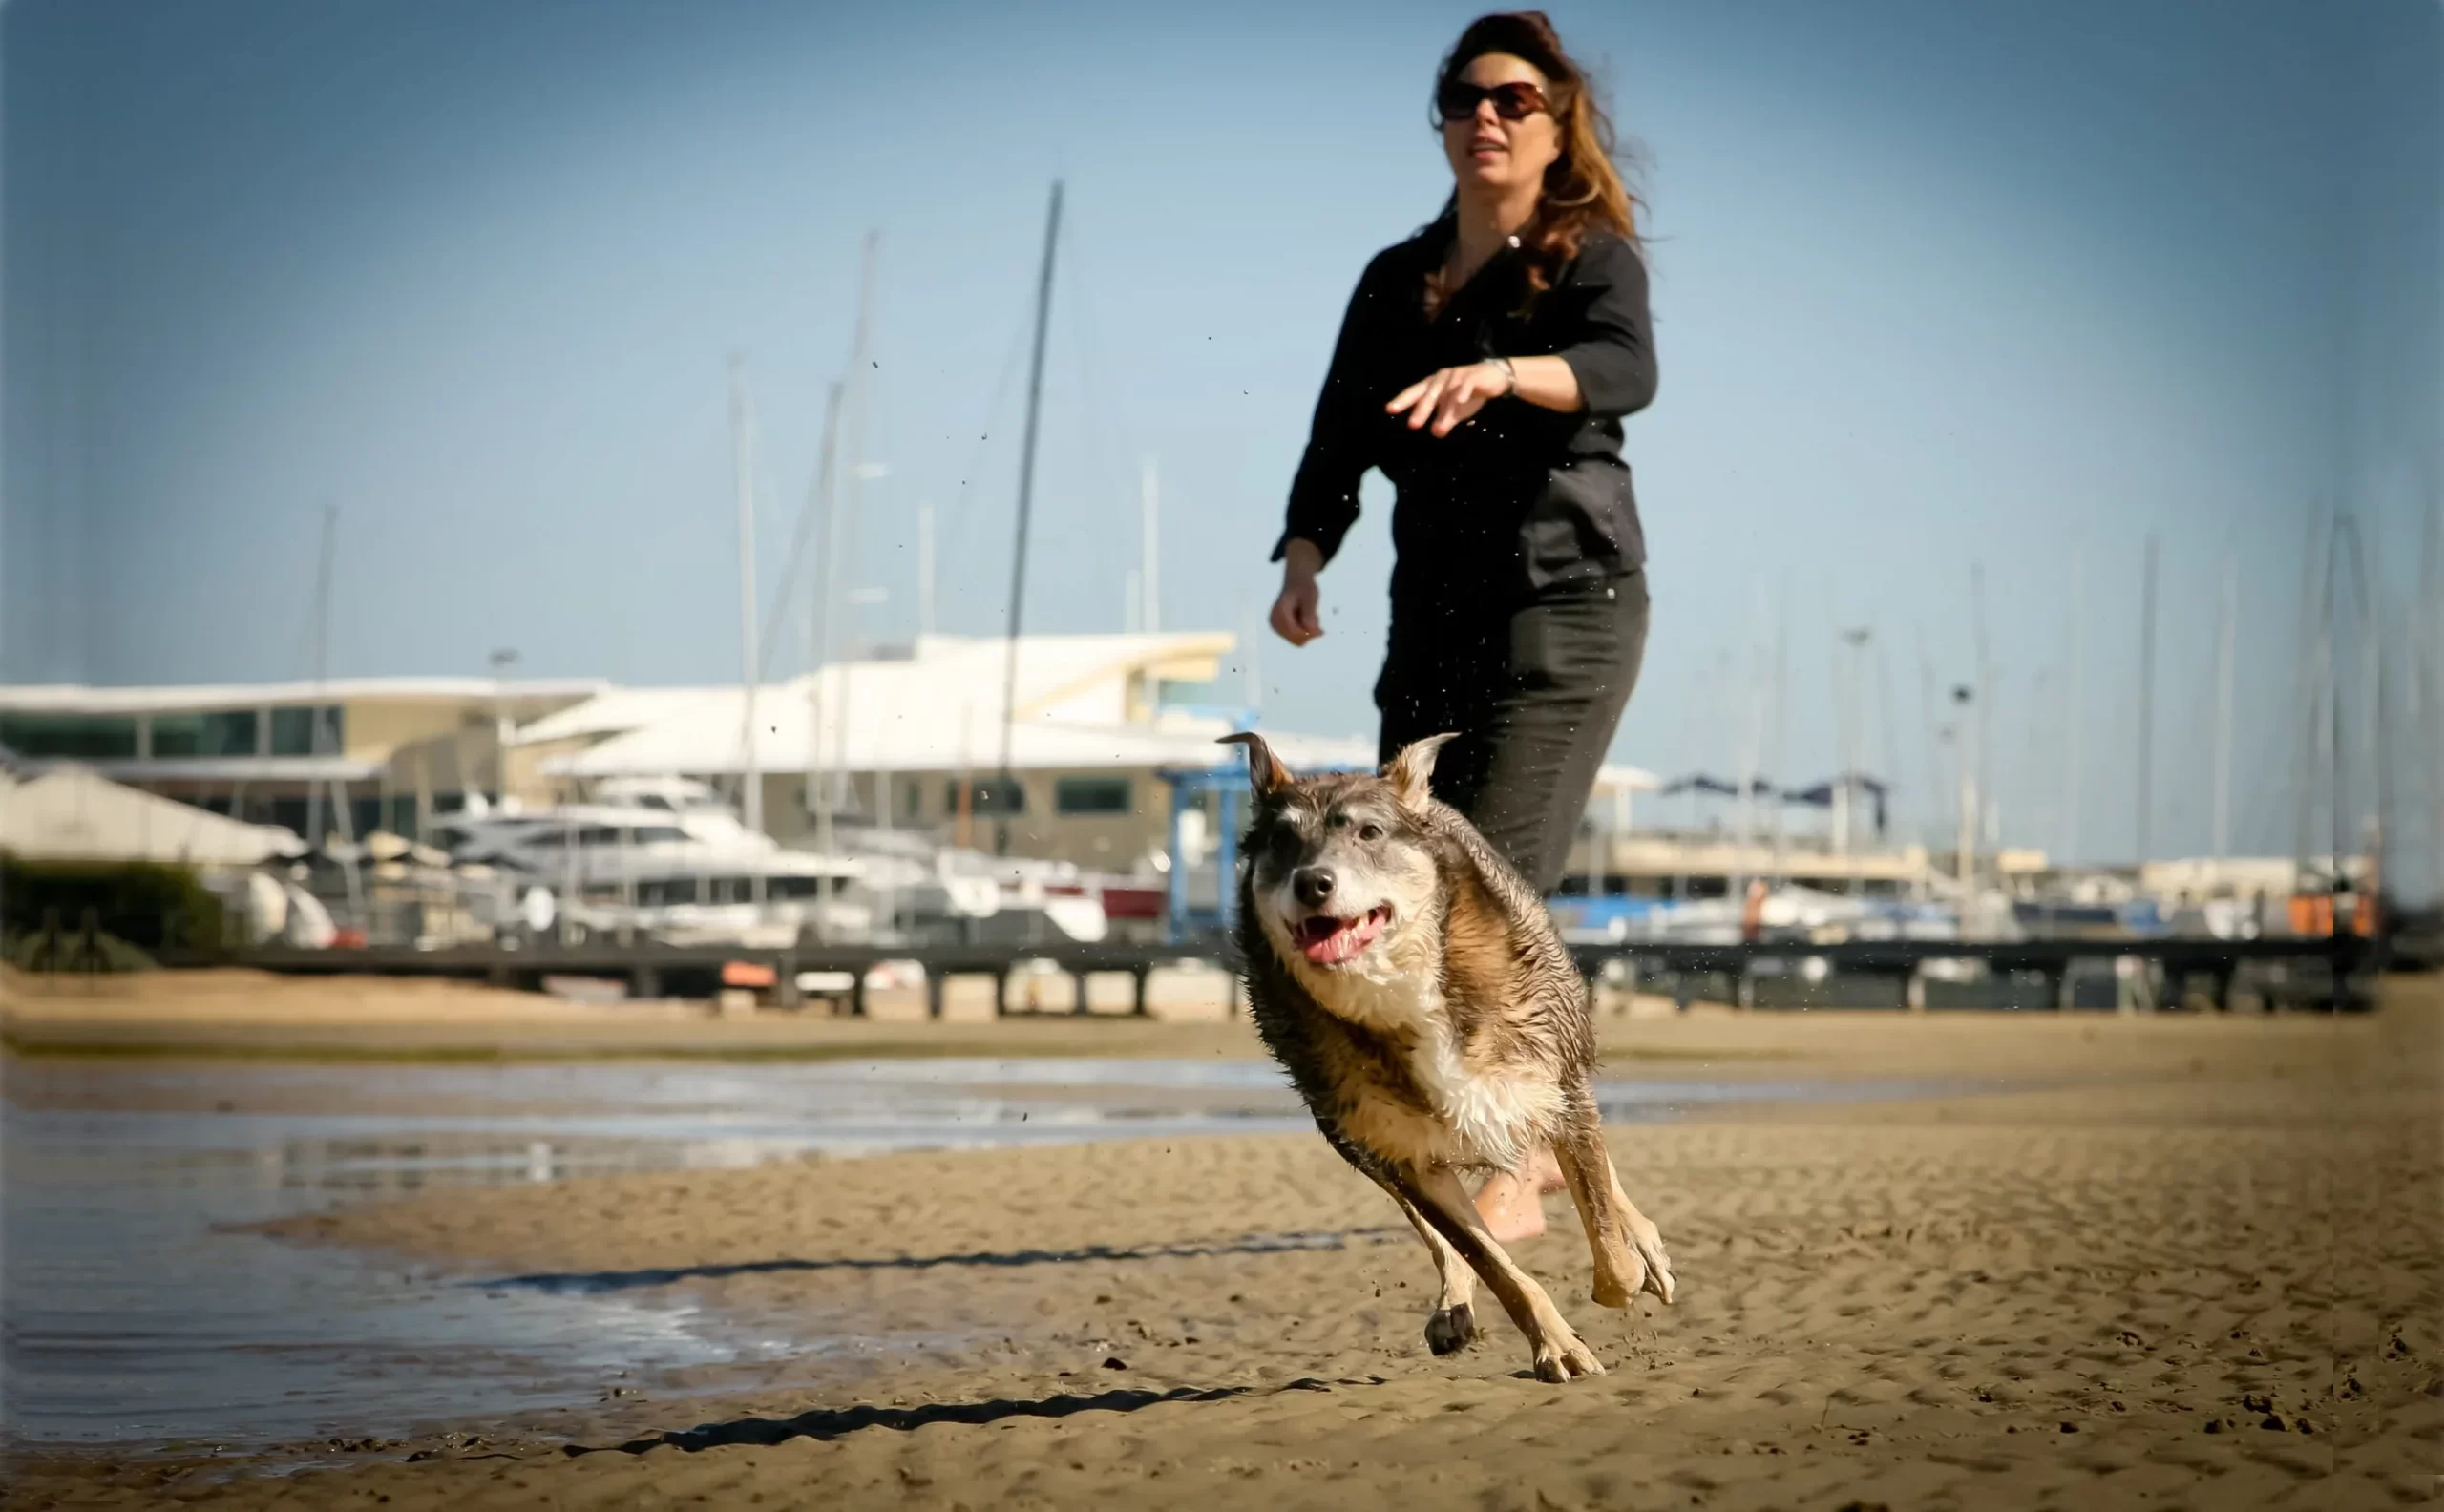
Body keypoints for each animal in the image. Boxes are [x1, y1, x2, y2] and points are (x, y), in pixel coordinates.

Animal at [1222, 732, 1681, 1387]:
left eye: (1369, 832)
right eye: (1283, 841)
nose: (1312, 883)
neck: (1401, 992)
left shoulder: (1558, 1087)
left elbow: (1609, 1245)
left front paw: (1628, 1267)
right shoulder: (1400, 1151)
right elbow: (1490, 1263)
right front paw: (1554, 1345)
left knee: (1594, 1171)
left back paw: (1640, 1241)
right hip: (1357, 1137)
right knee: (1442, 1231)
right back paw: (1455, 1305)